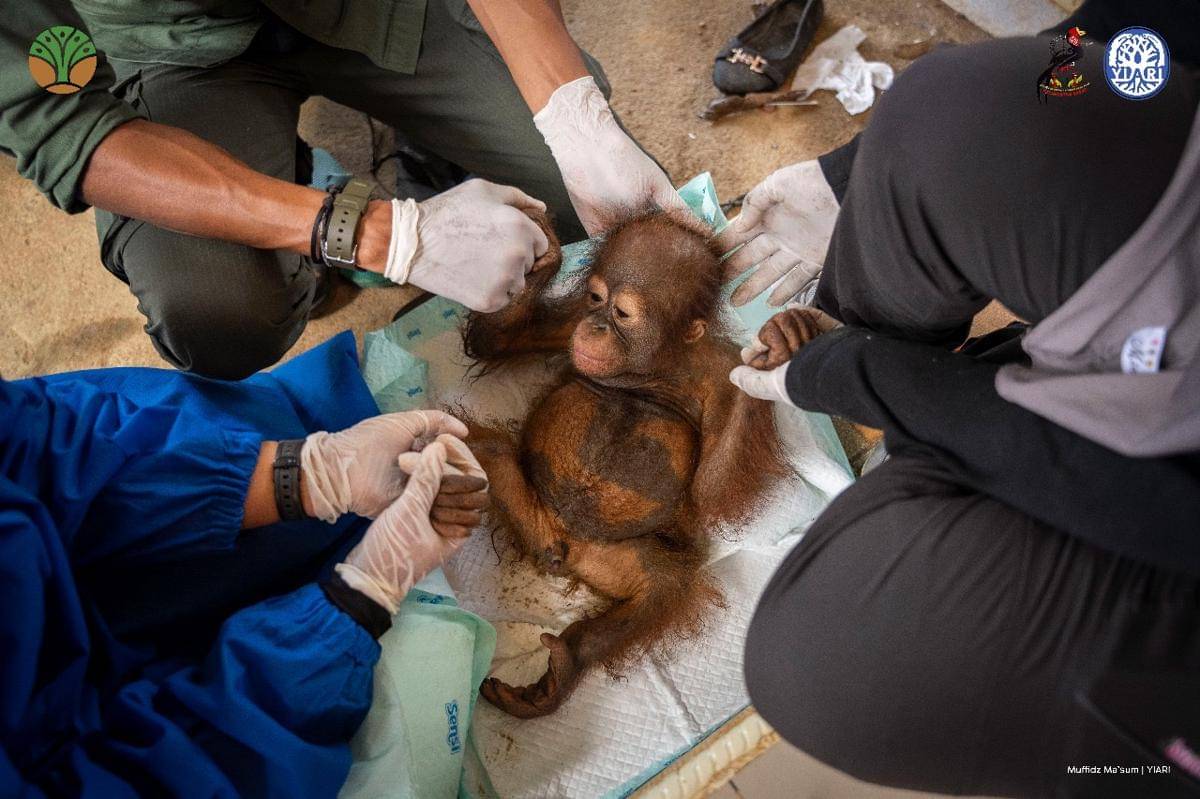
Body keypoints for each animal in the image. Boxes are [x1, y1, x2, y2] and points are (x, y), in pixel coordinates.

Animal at [461, 209, 790, 718]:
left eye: (622, 314)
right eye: (596, 298)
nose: (596, 326)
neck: (655, 364)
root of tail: (558, 540)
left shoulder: (720, 371)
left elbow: (710, 492)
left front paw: (774, 357)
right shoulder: (571, 323)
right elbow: (499, 340)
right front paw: (543, 257)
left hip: (607, 555)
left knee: (663, 584)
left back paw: (564, 665)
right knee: (483, 451)